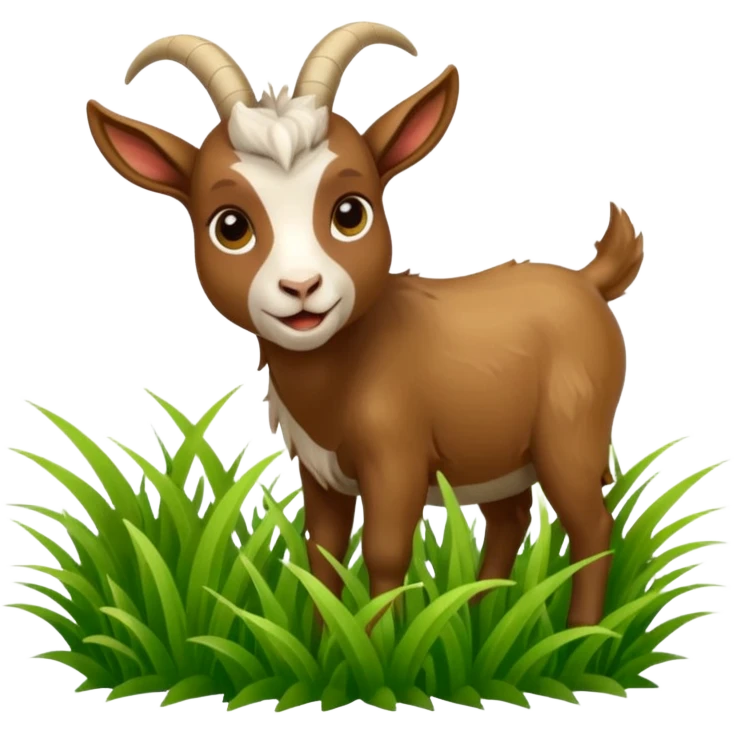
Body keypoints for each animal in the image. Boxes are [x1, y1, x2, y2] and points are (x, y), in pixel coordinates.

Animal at [85, 23, 645, 630]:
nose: (301, 287)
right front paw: (321, 640)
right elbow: (321, 551)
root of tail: (588, 281)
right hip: (499, 450)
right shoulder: (320, 470)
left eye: (350, 212)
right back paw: (475, 616)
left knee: (591, 524)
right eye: (230, 226)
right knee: (510, 518)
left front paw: (379, 644)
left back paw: (583, 635)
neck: (344, 370)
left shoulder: (395, 458)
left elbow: (384, 552)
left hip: (571, 432)